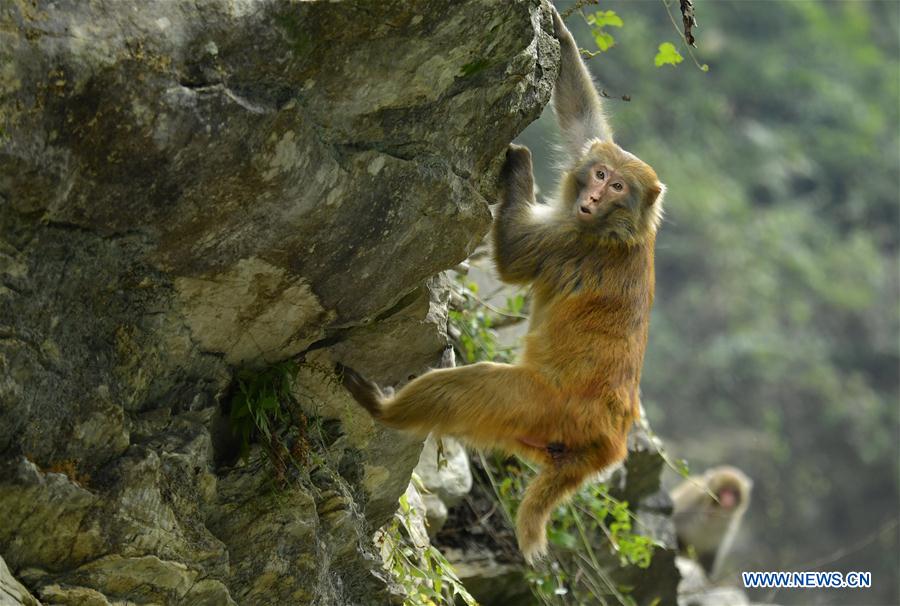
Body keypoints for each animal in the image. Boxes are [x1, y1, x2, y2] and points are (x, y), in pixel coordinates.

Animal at [339, 7, 665, 563]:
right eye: (600, 173)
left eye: (618, 187)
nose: (592, 196)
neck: (618, 229)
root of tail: (607, 445)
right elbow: (583, 124)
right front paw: (560, 36)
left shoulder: (571, 242)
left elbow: (513, 261)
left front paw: (520, 165)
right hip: (533, 436)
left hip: (539, 405)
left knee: (474, 389)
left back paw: (386, 410)